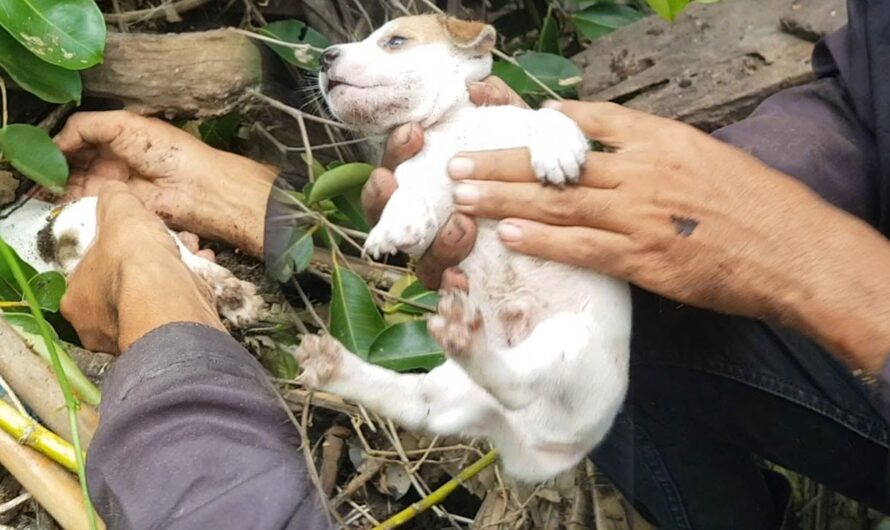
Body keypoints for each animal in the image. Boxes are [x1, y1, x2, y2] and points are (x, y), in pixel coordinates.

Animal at [294, 14, 628, 480]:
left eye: (395, 41)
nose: (324, 57)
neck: (453, 127)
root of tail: (545, 449)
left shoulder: (512, 124)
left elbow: (547, 115)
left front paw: (556, 150)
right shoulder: (423, 174)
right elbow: (410, 194)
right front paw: (394, 225)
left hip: (570, 341)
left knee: (515, 384)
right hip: (459, 389)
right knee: (427, 401)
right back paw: (340, 364)